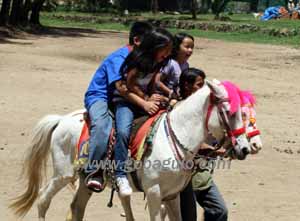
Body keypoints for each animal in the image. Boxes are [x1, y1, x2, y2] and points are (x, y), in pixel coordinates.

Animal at [9, 80, 258, 221]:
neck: (175, 137)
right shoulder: (155, 193)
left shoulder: (172, 195)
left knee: (77, 208)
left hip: (85, 180)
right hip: (63, 174)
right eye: (230, 112)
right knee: (43, 200)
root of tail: (62, 120)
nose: (245, 148)